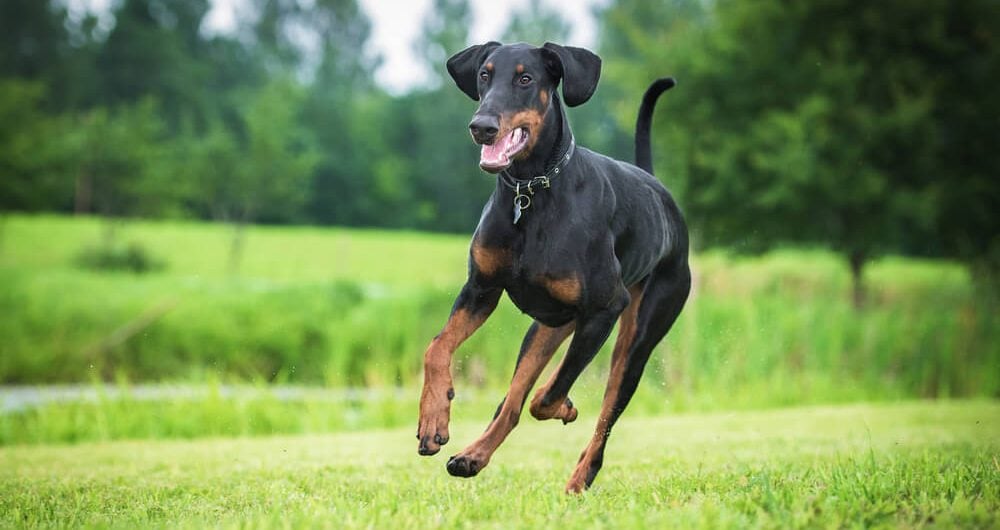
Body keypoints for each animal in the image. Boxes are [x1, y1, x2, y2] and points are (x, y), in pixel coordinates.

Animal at [418, 41, 692, 490]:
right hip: (548, 326)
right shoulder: (480, 289)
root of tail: (661, 193)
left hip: (637, 335)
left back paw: (580, 477)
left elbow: (547, 396)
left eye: (526, 78)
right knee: (512, 400)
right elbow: (437, 348)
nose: (482, 126)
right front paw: (433, 420)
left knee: (602, 413)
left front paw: (565, 407)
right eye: (484, 75)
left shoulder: (605, 309)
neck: (531, 192)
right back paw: (473, 456)